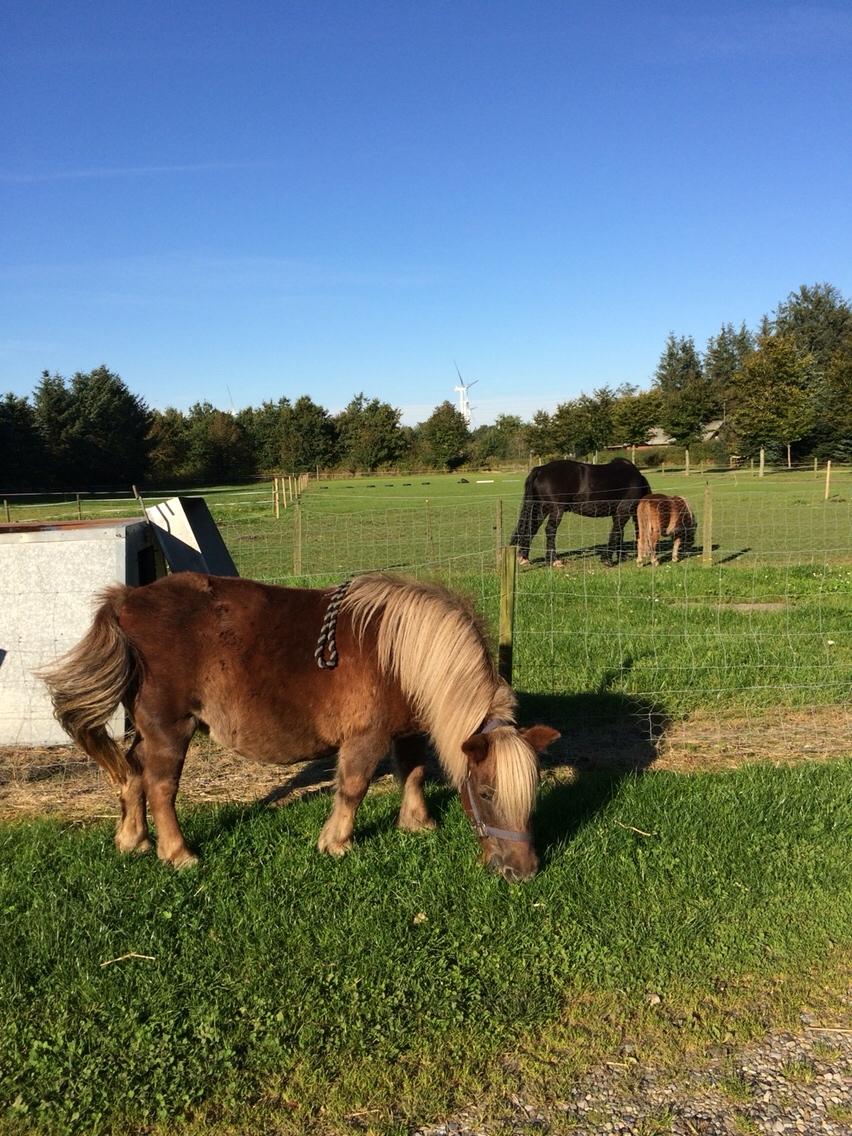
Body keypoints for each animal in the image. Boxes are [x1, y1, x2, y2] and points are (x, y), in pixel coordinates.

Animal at [40, 572, 561, 881]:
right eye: (488, 792)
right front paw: (337, 843)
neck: (402, 654)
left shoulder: (407, 731)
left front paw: (418, 823)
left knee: (130, 772)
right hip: (170, 729)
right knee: (160, 786)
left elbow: (411, 772)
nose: (524, 871)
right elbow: (353, 788)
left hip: (147, 731)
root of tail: (125, 600)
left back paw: (133, 840)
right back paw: (177, 852)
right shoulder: (365, 739)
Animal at [506, 458, 654, 565]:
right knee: (550, 530)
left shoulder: (618, 513)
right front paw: (607, 559)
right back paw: (554, 560)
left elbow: (619, 533)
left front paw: (621, 556)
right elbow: (616, 532)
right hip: (556, 510)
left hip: (541, 509)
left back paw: (524, 558)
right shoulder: (623, 511)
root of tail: (541, 469)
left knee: (532, 528)